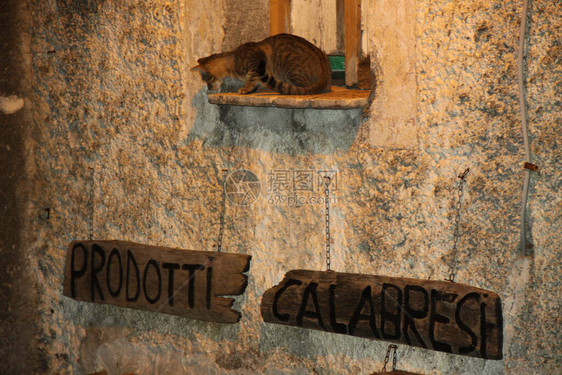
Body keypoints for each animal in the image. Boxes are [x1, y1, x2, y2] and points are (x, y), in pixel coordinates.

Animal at [190, 33, 330, 95]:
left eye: (207, 80)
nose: (208, 88)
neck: (232, 59)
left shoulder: (255, 63)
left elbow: (252, 79)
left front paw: (246, 89)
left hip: (289, 62)